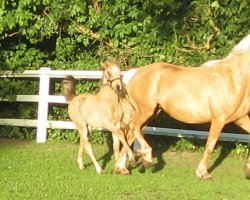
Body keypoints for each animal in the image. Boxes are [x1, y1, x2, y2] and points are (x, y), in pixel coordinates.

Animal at [118, 34, 250, 180]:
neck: (234, 80)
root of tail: (134, 73)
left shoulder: (240, 118)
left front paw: (247, 170)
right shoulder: (218, 119)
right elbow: (210, 145)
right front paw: (203, 173)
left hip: (152, 112)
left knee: (130, 133)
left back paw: (122, 168)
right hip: (145, 110)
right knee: (133, 127)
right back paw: (147, 159)